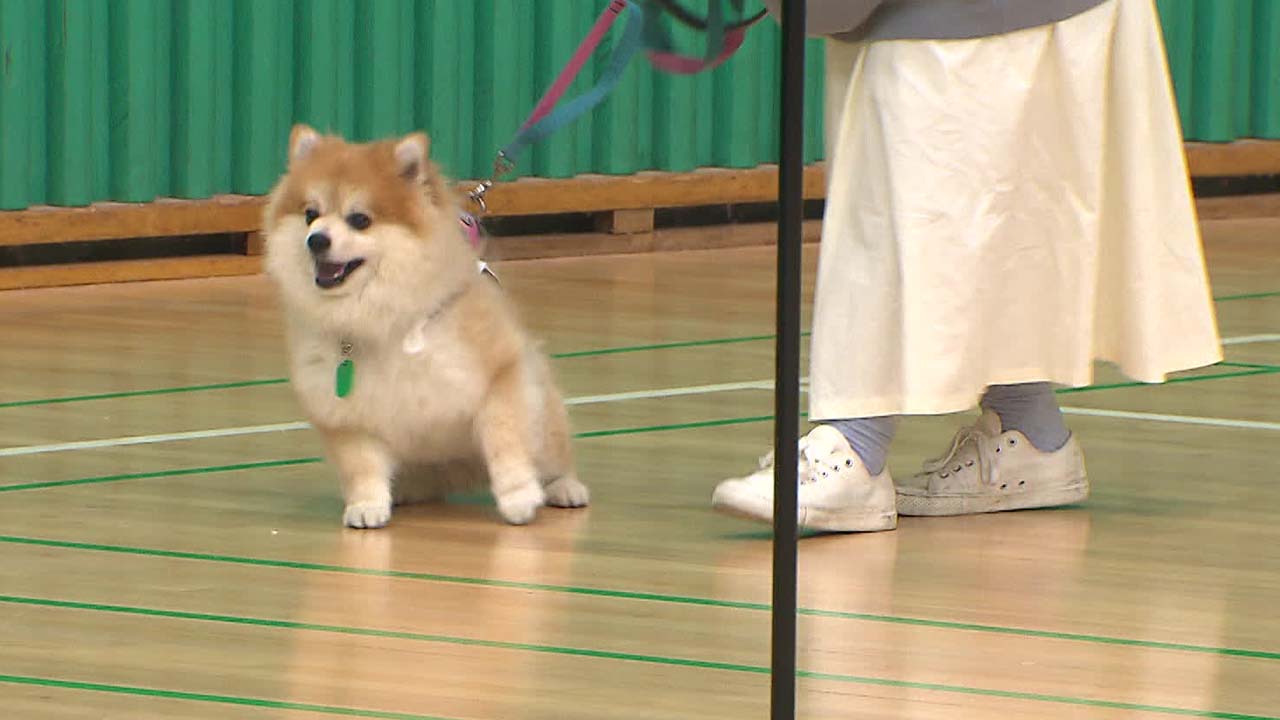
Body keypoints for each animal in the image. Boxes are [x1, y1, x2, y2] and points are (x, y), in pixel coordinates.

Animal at [261, 122, 588, 527]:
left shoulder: (500, 375)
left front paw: (519, 496)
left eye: (359, 219)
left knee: (553, 454)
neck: (384, 321)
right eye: (310, 214)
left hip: (544, 412)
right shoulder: (346, 416)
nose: (316, 239)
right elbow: (362, 466)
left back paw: (564, 487)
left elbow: (506, 439)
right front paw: (367, 505)